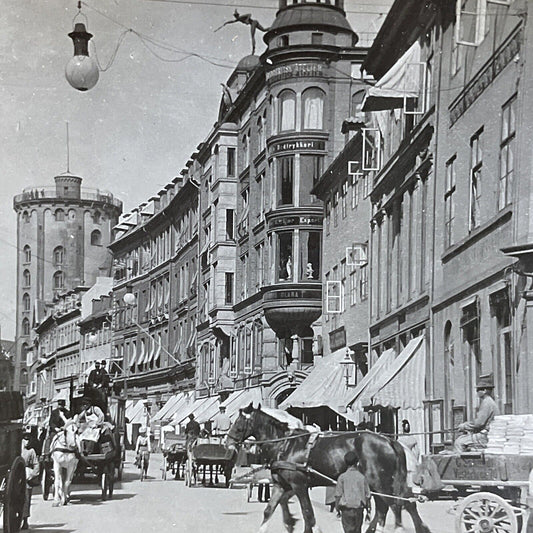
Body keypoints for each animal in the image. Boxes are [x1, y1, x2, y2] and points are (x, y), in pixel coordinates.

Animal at [225, 404, 432, 532]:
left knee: (396, 504)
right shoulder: (281, 485)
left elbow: (308, 513)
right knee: (393, 505)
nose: (227, 442)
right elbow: (269, 510)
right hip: (380, 483)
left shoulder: (299, 485)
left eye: (239, 423)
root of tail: (389, 440)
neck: (285, 444)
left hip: (380, 482)